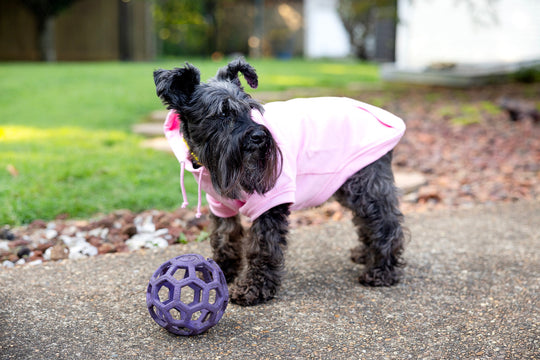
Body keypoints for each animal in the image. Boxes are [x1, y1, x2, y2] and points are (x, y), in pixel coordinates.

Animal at [152, 59, 404, 306]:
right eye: (222, 114)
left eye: (251, 109)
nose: (259, 136)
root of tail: (379, 113)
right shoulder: (220, 204)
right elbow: (224, 236)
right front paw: (219, 271)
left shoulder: (269, 204)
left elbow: (262, 247)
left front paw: (253, 288)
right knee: (368, 221)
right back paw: (365, 254)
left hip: (366, 186)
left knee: (385, 222)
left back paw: (381, 271)